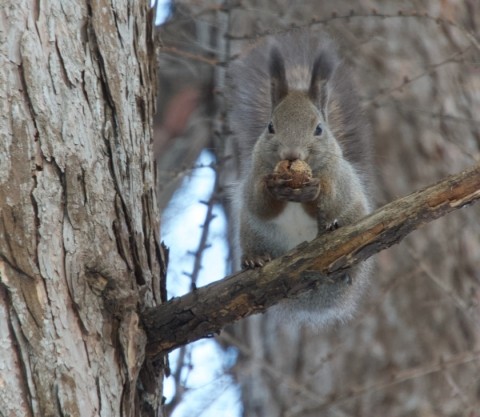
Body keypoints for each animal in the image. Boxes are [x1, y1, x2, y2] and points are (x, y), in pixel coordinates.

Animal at [229, 31, 376, 324]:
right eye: (270, 127)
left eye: (319, 129)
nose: (291, 154)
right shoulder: (254, 174)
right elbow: (258, 204)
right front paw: (273, 187)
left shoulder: (340, 178)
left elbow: (332, 199)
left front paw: (313, 191)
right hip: (251, 230)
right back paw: (254, 259)